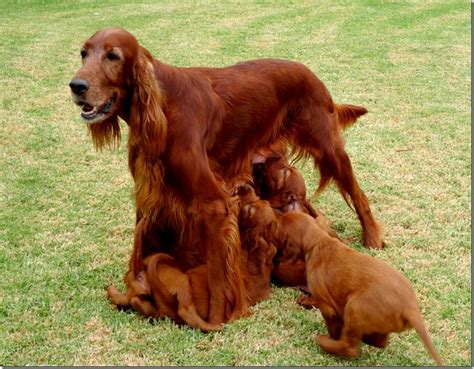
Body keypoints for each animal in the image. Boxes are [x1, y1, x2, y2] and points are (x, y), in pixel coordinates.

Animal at [69, 28, 382, 322]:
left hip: (328, 146)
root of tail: (310, 73)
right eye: (83, 53)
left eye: (113, 56)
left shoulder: (215, 205)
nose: (76, 86)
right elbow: (139, 244)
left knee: (357, 193)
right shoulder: (150, 195)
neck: (163, 107)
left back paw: (372, 238)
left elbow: (219, 274)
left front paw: (220, 317)